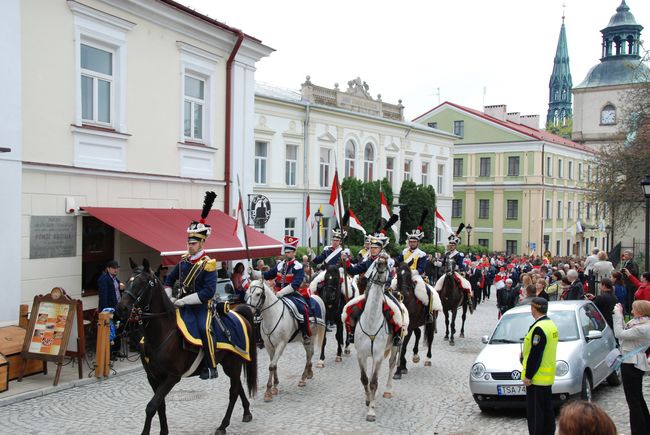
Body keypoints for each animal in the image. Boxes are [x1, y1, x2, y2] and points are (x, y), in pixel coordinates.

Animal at [115, 260, 256, 434]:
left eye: (142, 283)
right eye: (128, 280)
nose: (120, 308)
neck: (161, 333)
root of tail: (238, 314)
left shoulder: (172, 377)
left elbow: (151, 406)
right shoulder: (153, 377)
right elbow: (160, 406)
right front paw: (163, 431)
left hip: (233, 363)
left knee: (234, 392)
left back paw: (223, 425)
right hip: (228, 364)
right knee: (238, 387)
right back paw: (246, 412)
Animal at [350, 254, 400, 424]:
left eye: (389, 263)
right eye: (377, 261)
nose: (382, 263)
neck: (371, 321)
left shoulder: (378, 355)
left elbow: (373, 383)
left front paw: (371, 411)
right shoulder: (361, 355)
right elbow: (365, 379)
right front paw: (368, 400)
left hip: (395, 347)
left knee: (391, 365)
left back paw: (388, 391)